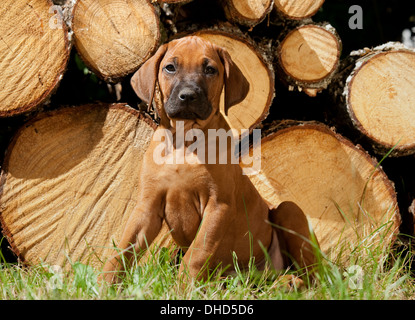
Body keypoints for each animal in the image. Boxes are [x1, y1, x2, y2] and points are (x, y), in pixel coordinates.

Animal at [100, 36, 318, 284]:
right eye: (170, 67)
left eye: (210, 70)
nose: (188, 96)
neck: (184, 141)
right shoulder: (147, 206)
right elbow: (122, 250)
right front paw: (104, 285)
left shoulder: (218, 206)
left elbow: (196, 255)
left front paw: (183, 288)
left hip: (288, 210)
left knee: (311, 276)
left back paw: (293, 283)